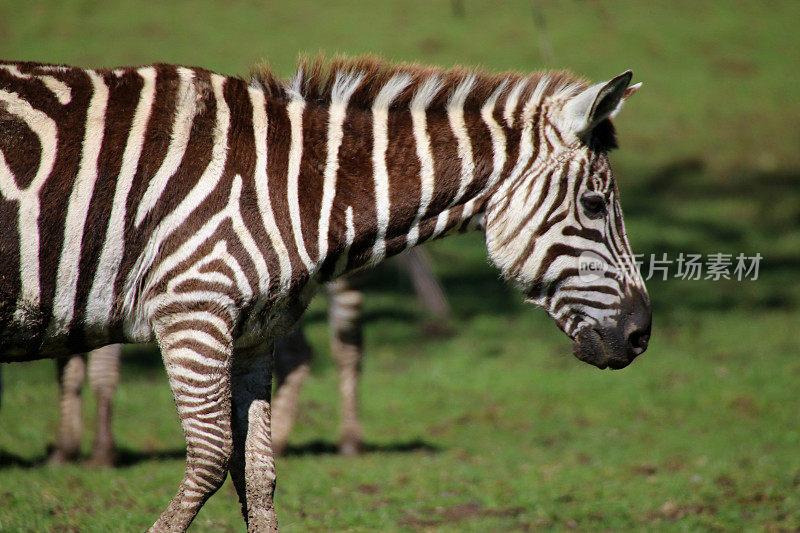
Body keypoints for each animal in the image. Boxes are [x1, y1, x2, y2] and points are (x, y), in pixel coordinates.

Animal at [0, 56, 648, 528]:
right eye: (594, 206)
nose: (641, 335)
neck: (290, 186)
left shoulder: (251, 333)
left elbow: (257, 474)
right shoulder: (193, 308)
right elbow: (210, 459)